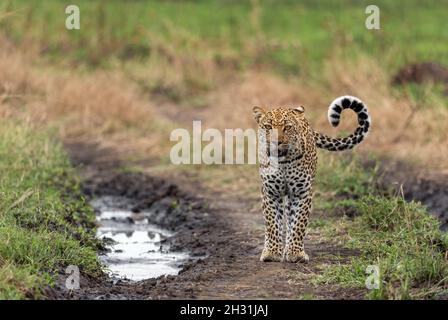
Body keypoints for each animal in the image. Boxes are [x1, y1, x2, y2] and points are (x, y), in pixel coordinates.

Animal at [252, 96, 372, 264]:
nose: (277, 141)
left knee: (290, 219)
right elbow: (272, 224)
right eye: (268, 126)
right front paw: (272, 253)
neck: (283, 161)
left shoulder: (302, 192)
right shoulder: (270, 192)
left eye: (287, 127)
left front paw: (296, 253)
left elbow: (298, 223)